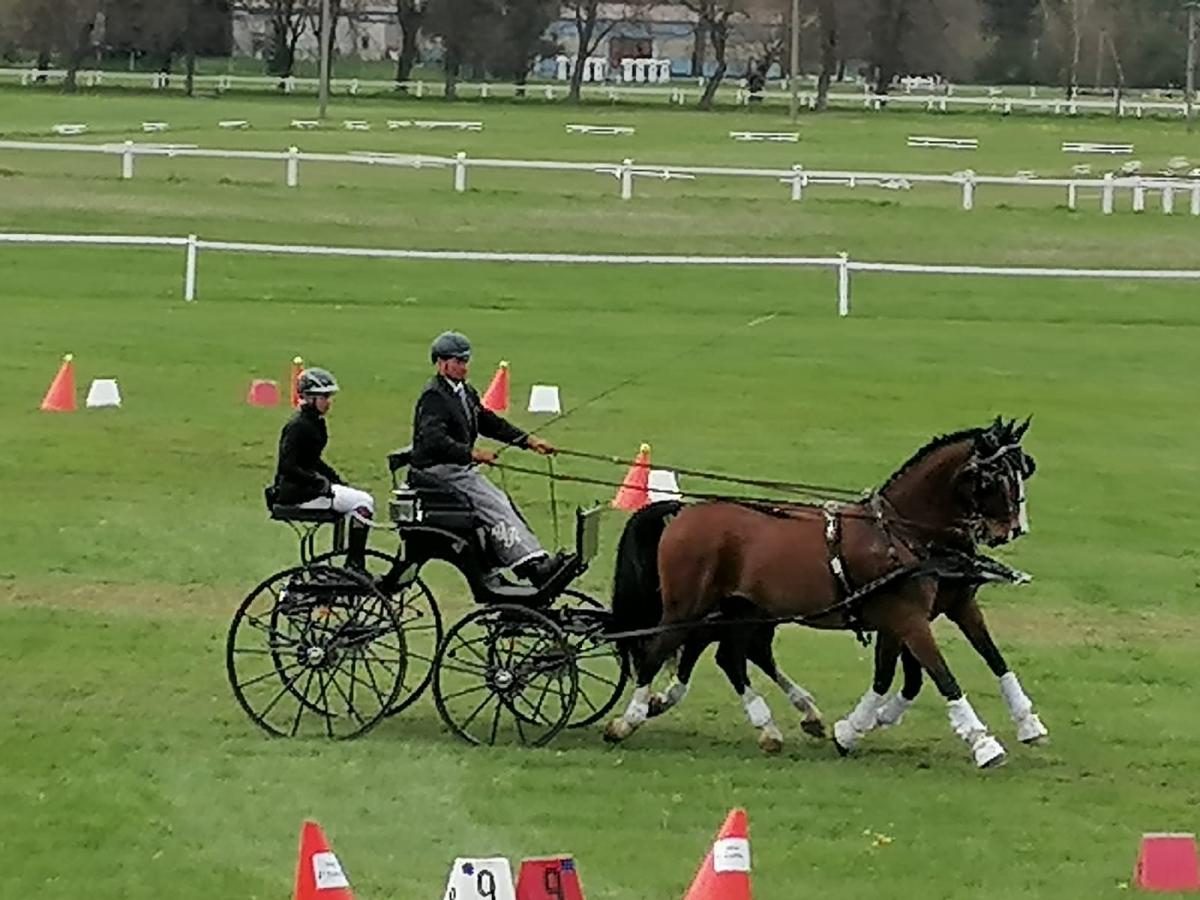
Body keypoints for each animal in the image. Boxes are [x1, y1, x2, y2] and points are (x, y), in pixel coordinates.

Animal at [603, 417, 1042, 769]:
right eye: (994, 476)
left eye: (1025, 469)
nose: (1013, 530)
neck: (901, 534)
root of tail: (684, 512)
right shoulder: (908, 618)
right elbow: (940, 675)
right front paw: (982, 743)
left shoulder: (944, 609)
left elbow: (984, 660)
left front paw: (1027, 722)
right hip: (688, 606)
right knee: (658, 649)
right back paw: (628, 720)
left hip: (741, 608)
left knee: (731, 656)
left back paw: (773, 723)